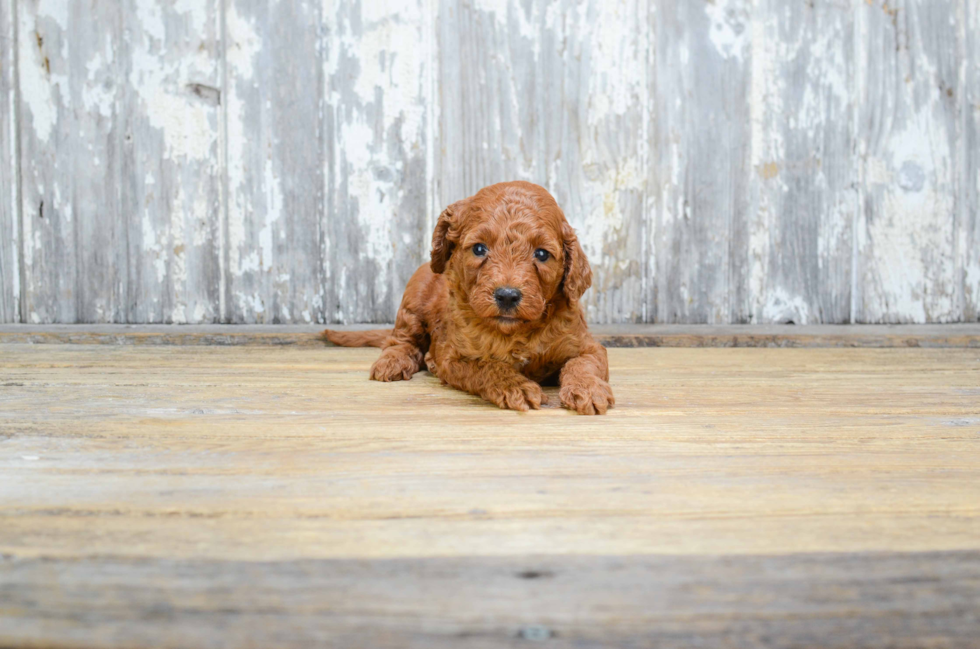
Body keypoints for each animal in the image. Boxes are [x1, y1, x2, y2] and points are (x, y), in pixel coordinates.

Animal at [322, 182, 612, 416]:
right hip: (413, 299)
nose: (507, 296)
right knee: (402, 340)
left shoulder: (586, 345)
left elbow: (583, 363)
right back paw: (393, 361)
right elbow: (486, 366)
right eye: (479, 248)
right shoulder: (455, 356)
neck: (514, 332)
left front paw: (587, 389)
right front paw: (515, 386)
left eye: (542, 254)